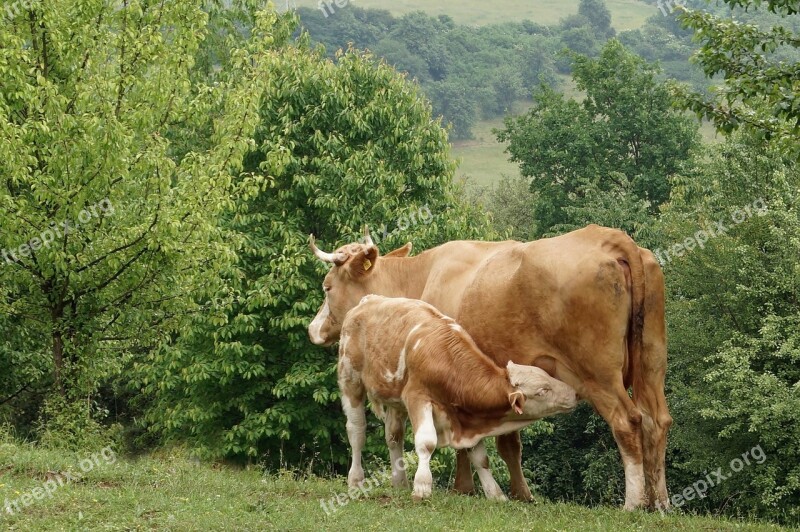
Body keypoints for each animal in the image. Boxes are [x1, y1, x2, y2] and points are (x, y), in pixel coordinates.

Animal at [338, 296, 576, 498]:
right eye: (543, 390)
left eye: (548, 376)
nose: (573, 393)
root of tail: (367, 300)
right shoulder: (417, 397)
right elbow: (426, 443)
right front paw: (422, 488)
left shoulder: (468, 417)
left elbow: (480, 457)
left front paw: (495, 494)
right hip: (350, 380)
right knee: (357, 432)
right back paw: (356, 481)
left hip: (395, 399)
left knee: (394, 436)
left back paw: (400, 483)